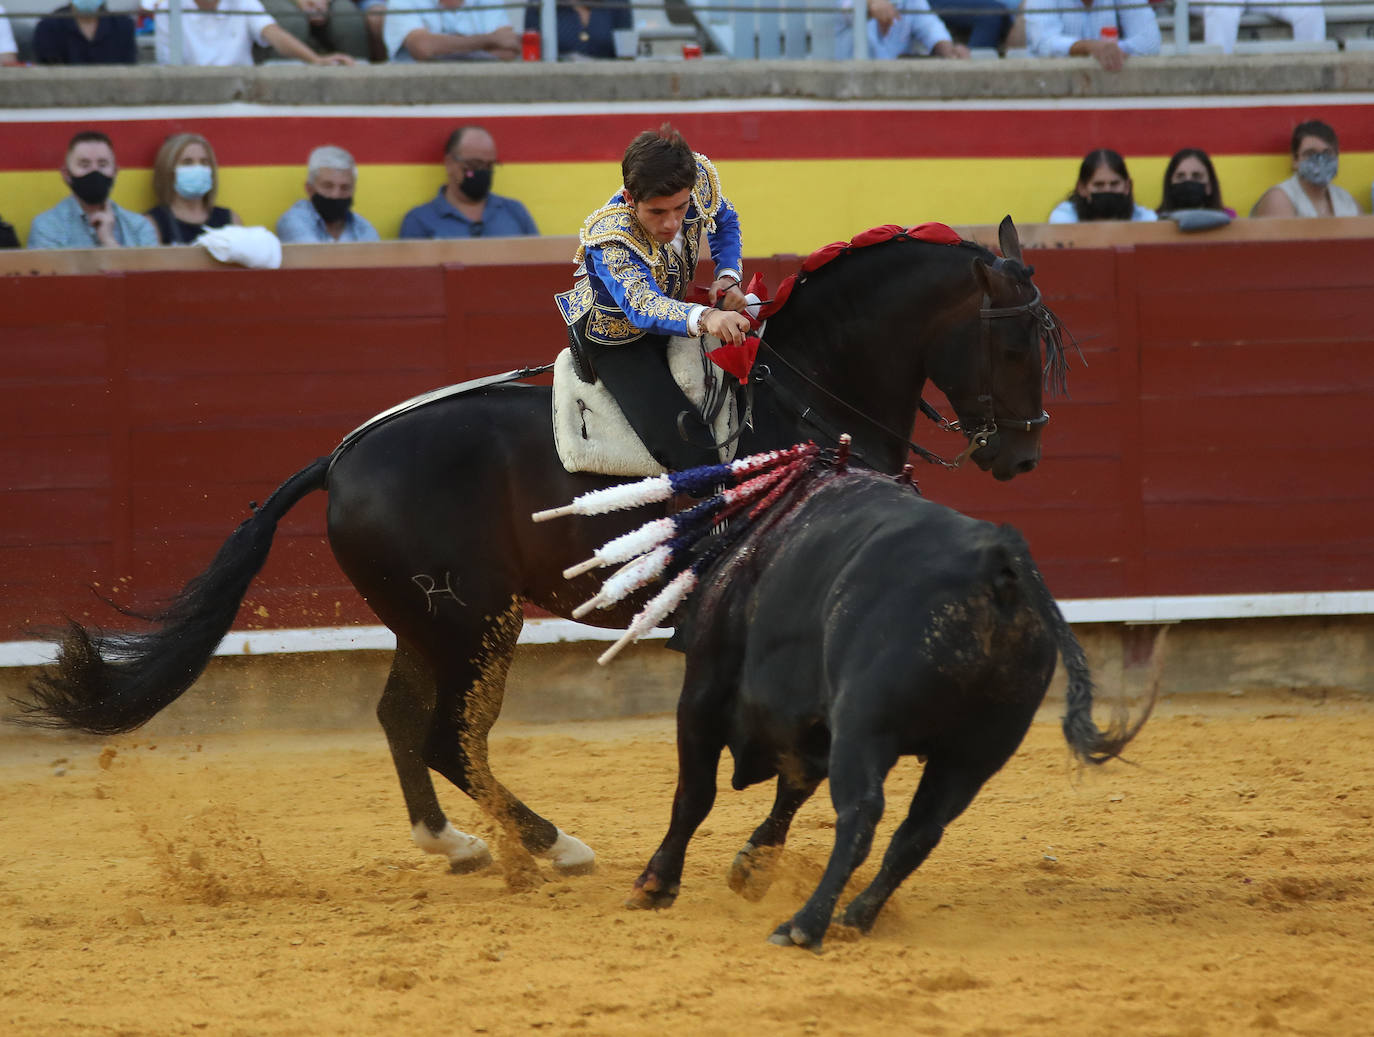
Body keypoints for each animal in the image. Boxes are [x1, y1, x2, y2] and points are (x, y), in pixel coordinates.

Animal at [13, 217, 1071, 873]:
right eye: (1016, 344)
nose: (1022, 454)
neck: (803, 396)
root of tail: (342, 455)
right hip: (472, 617)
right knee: (442, 730)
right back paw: (551, 843)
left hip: (433, 620)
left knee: (408, 720)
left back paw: (465, 845)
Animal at [629, 469, 1159, 950]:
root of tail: (995, 559)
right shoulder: (814, 730)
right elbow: (790, 792)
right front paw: (751, 869)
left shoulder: (706, 690)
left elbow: (697, 794)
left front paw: (656, 885)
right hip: (975, 753)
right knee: (920, 832)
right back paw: (855, 918)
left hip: (867, 728)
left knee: (862, 815)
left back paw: (804, 926)